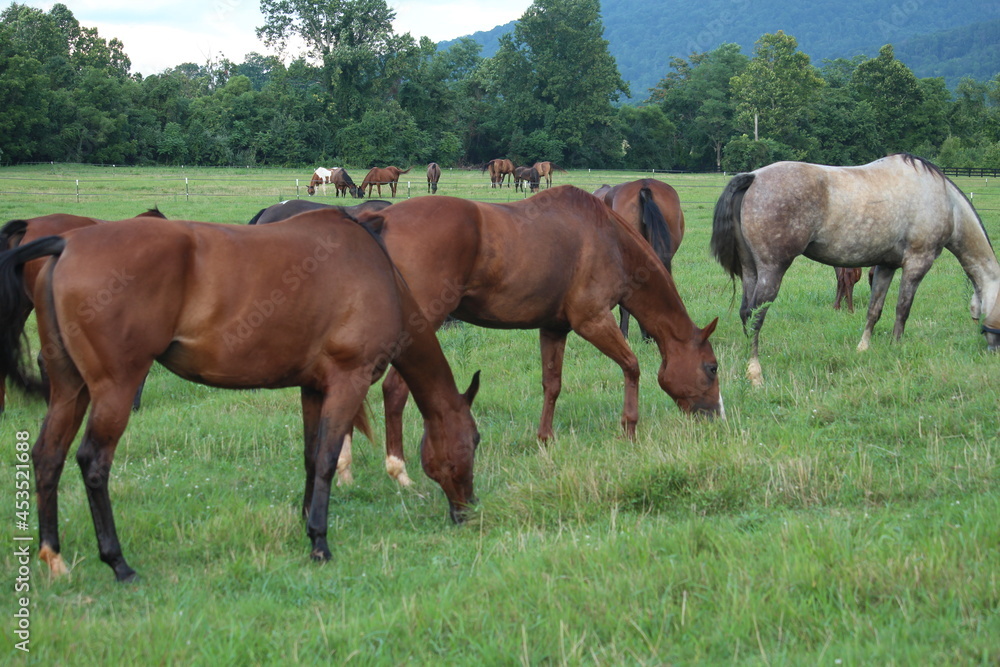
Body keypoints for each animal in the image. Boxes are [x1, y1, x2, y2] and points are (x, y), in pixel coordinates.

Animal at [712, 153, 1000, 386]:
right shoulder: (917, 263)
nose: (994, 351)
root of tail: (754, 177)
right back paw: (755, 373)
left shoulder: (885, 266)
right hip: (772, 270)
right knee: (756, 316)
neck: (946, 203)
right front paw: (896, 347)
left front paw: (863, 348)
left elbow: (875, 309)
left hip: (752, 271)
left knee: (745, 313)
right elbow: (902, 310)